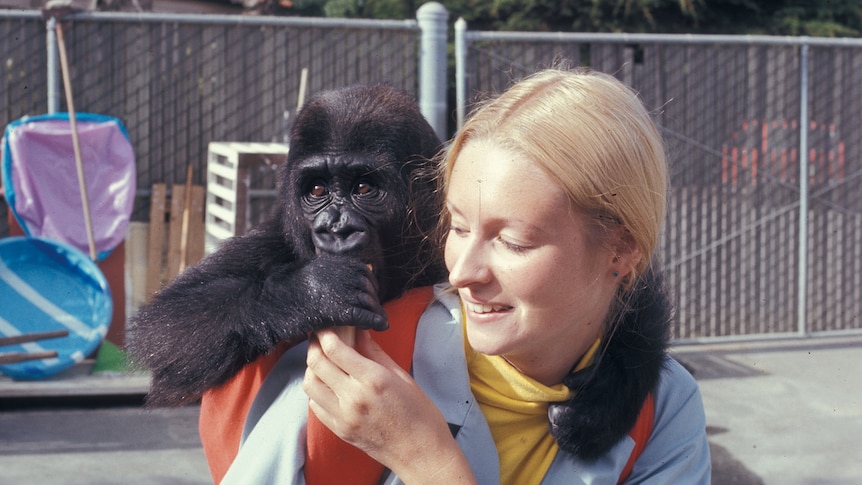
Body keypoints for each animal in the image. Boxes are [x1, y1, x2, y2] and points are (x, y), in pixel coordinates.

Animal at [133, 85, 452, 406]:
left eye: (363, 188)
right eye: (317, 189)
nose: (336, 228)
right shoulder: (271, 240)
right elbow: (165, 324)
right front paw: (316, 292)